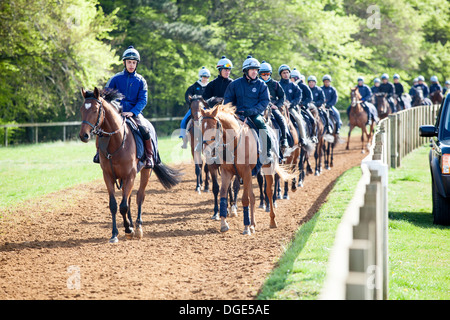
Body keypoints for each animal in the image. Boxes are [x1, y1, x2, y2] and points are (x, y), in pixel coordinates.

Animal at [79, 87, 183, 242]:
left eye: (95, 109)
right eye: (81, 109)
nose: (83, 135)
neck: (116, 141)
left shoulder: (130, 175)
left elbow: (124, 205)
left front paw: (129, 229)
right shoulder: (108, 176)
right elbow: (114, 205)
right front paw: (115, 233)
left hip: (145, 171)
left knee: (140, 196)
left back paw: (138, 227)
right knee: (128, 198)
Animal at [200, 104, 292, 234]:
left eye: (214, 128)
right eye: (201, 128)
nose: (207, 152)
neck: (234, 142)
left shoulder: (246, 171)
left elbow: (244, 199)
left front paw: (246, 227)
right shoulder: (227, 172)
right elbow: (223, 194)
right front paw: (224, 223)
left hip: (267, 168)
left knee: (268, 191)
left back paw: (272, 221)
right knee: (252, 196)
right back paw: (253, 224)